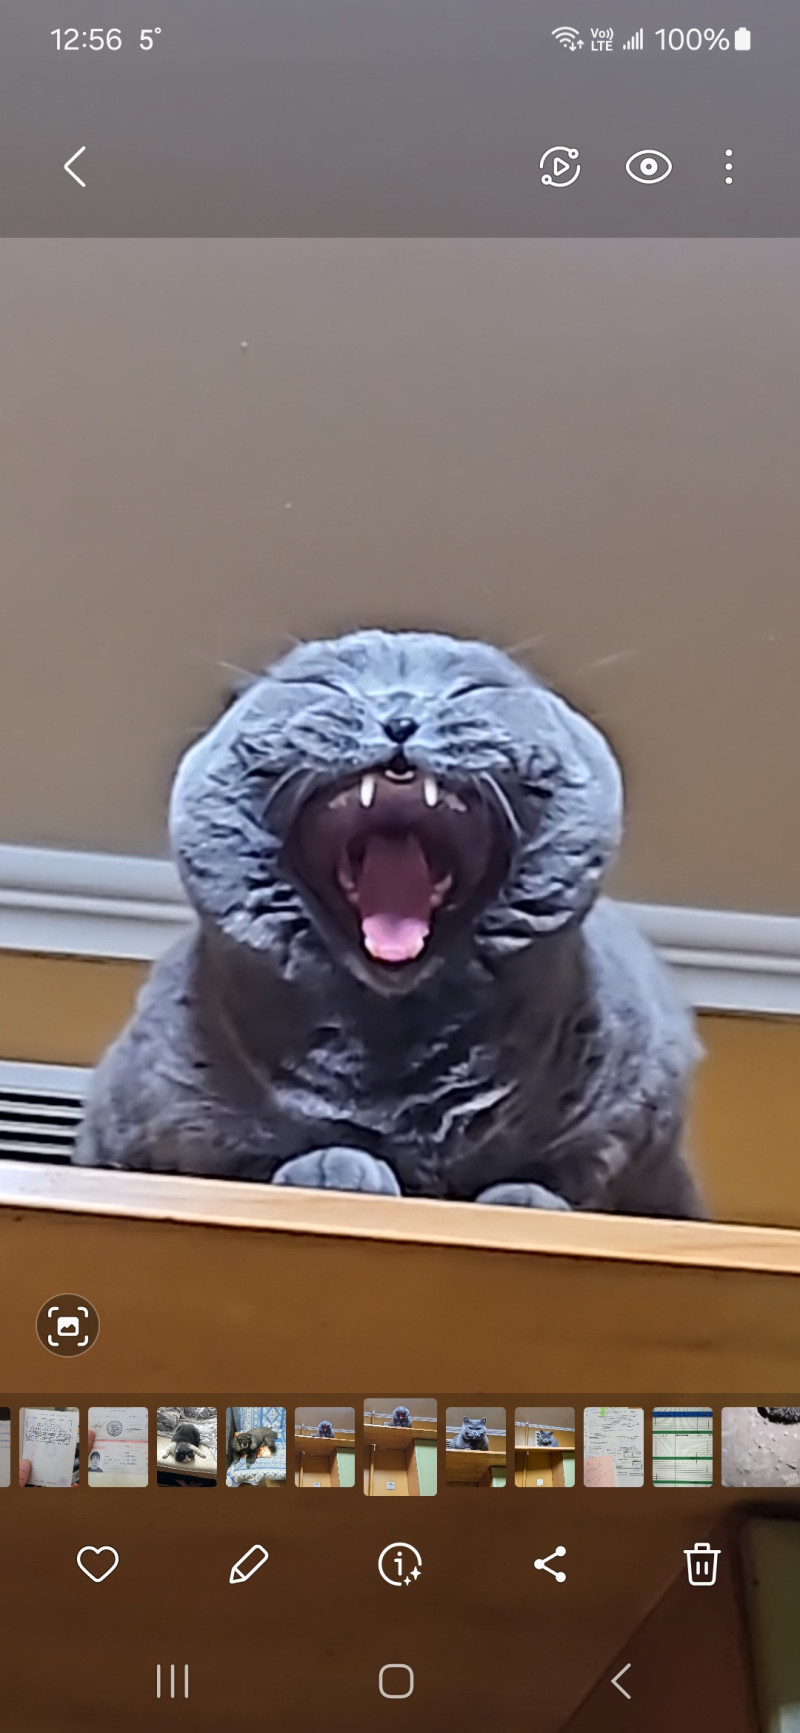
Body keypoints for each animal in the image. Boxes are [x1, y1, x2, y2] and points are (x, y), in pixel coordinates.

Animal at [73, 629, 703, 1218]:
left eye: (474, 690)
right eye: (324, 685)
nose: (400, 717)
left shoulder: (634, 1105)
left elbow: (565, 1174)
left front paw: (524, 1199)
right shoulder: (158, 1121)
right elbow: (258, 1155)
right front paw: (334, 1165)